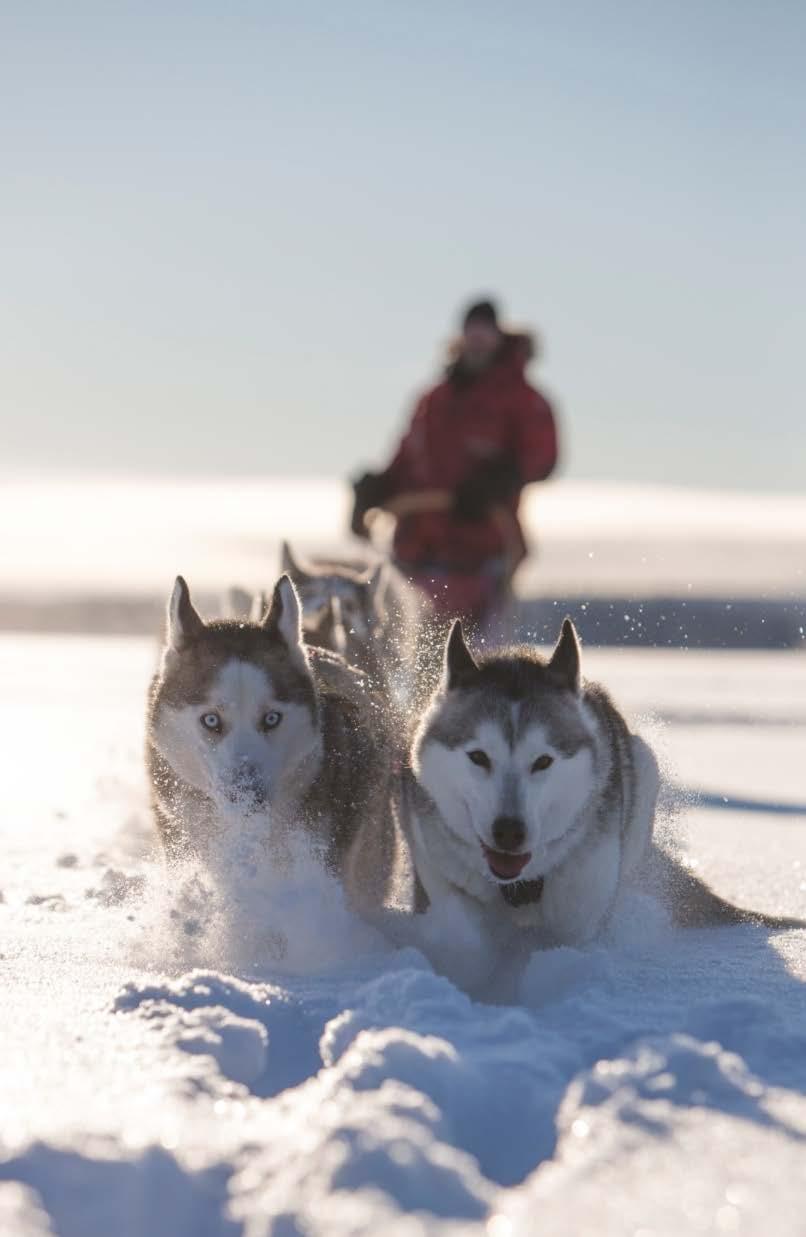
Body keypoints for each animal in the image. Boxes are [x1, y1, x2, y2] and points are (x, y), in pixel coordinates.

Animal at [405, 618, 801, 964]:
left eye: (543, 761)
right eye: (478, 756)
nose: (509, 831)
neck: (520, 885)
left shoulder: (579, 914)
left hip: (644, 768)